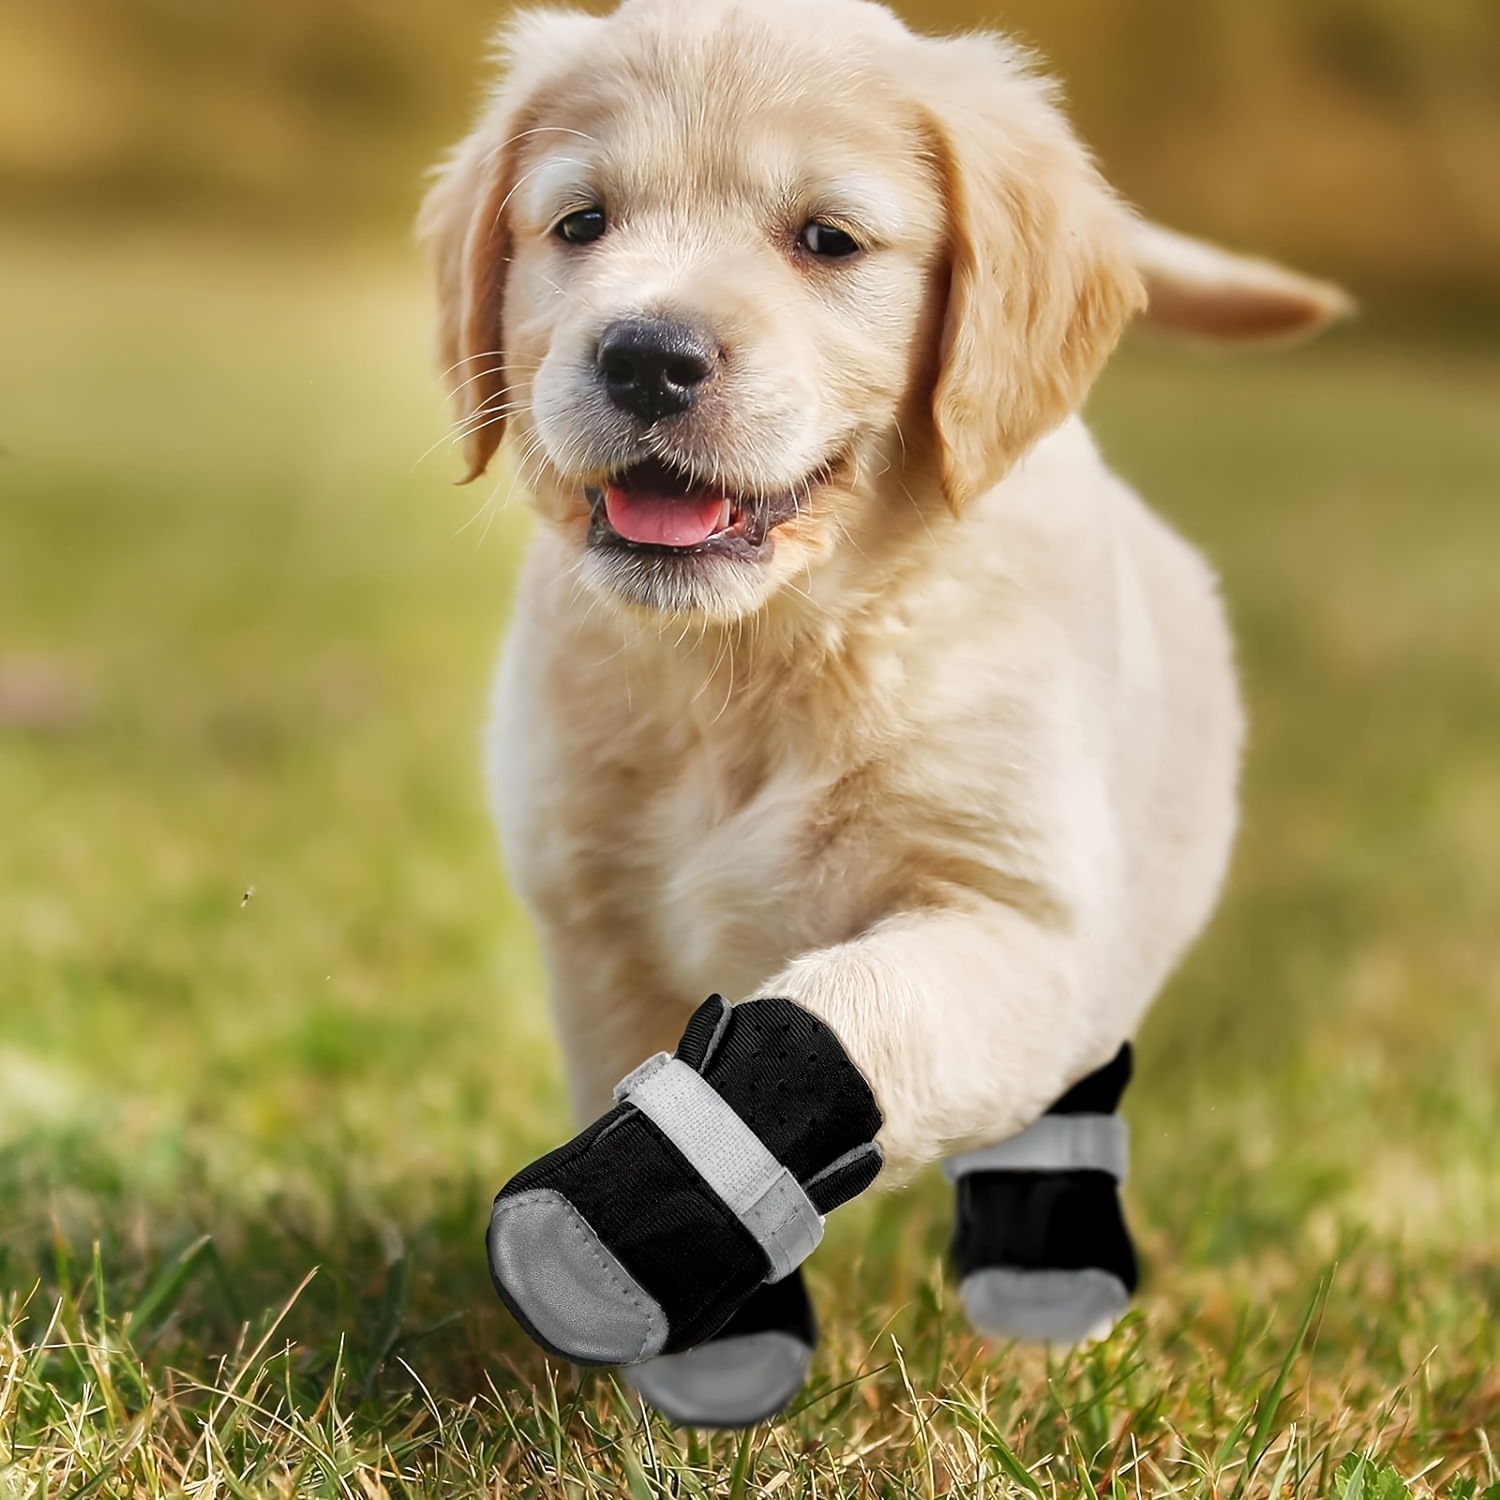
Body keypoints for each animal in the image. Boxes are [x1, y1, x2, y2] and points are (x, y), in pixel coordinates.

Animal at [423, 0, 1350, 1428]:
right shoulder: (598, 934)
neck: (763, 657)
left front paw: (609, 1241)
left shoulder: (1020, 924)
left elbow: (849, 1011)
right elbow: (652, 1072)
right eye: (580, 224)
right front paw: (713, 1341)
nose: (645, 356)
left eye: (827, 240)